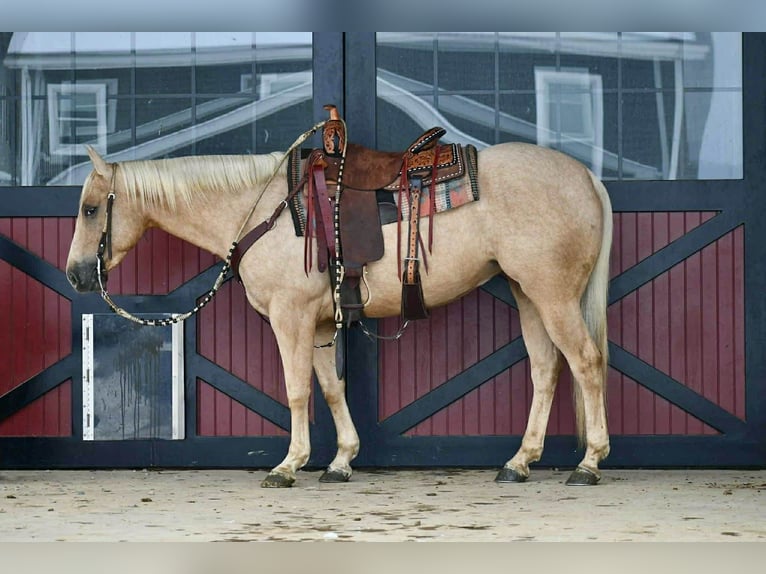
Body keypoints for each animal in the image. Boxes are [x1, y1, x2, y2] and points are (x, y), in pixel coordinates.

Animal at [66, 137, 613, 488]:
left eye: (91, 209)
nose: (75, 275)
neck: (262, 208)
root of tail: (586, 176)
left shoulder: (290, 317)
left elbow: (297, 390)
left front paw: (289, 465)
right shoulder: (320, 322)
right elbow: (331, 388)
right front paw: (341, 461)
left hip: (553, 295)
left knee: (586, 363)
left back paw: (588, 463)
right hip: (527, 293)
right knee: (546, 369)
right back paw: (519, 462)